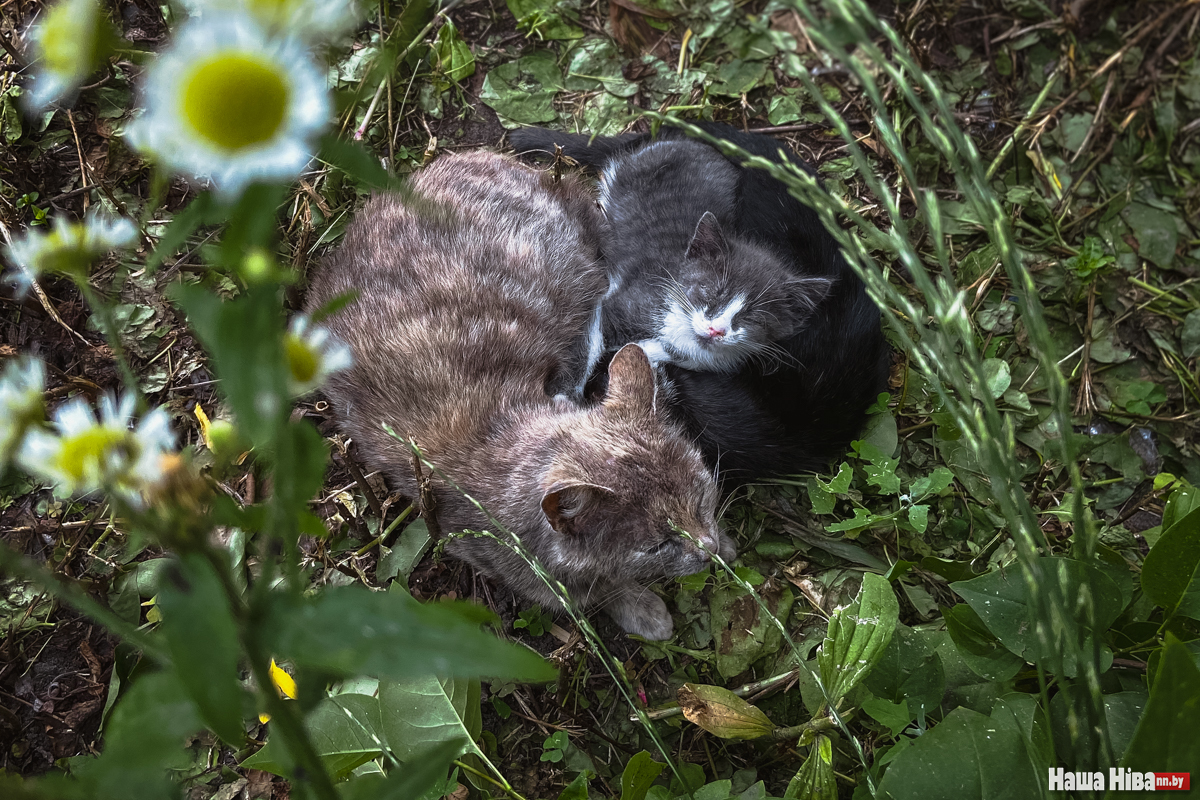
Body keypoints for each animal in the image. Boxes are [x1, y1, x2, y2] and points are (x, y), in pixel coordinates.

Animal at [302, 148, 729, 638]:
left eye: (701, 494)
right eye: (659, 545)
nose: (707, 549)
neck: (507, 430)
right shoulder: (521, 569)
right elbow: (594, 591)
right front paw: (640, 607)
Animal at [506, 123, 892, 482]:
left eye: (753, 318)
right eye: (710, 293)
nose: (716, 329)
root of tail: (678, 136)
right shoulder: (624, 304)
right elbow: (591, 340)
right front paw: (568, 397)